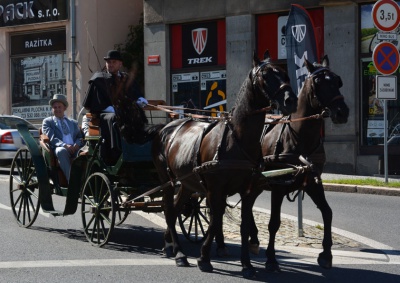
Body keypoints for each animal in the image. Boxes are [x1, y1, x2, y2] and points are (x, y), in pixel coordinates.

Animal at [152, 51, 298, 278]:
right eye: (265, 75)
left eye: (284, 74)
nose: (290, 100)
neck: (237, 139)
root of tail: (166, 127)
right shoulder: (215, 189)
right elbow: (215, 221)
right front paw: (204, 258)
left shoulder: (248, 191)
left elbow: (244, 225)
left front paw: (246, 264)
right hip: (167, 180)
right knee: (169, 211)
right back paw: (179, 254)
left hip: (187, 183)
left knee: (175, 211)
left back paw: (174, 248)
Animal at [250, 55, 350, 272]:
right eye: (318, 82)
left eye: (338, 81)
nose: (342, 112)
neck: (299, 137)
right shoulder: (278, 187)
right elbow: (274, 222)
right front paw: (271, 259)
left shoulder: (313, 182)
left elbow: (327, 213)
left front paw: (326, 254)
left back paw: (253, 238)